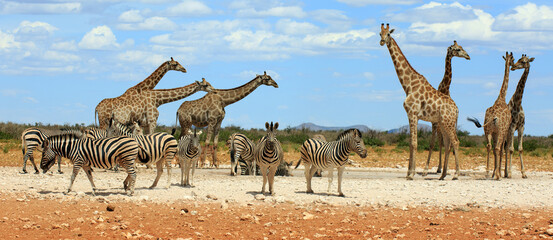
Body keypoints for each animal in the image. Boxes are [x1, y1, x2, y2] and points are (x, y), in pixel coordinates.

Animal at [380, 23, 462, 180]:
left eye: (388, 34)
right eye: (379, 33)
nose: (381, 41)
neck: (408, 85)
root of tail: (457, 109)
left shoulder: (412, 113)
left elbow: (414, 143)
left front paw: (411, 174)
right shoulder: (414, 115)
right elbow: (412, 143)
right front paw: (408, 173)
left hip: (448, 123)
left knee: (455, 141)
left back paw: (455, 174)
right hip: (443, 123)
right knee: (448, 142)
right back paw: (443, 175)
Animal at [422, 40, 470, 176]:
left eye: (462, 47)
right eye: (457, 49)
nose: (468, 56)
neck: (445, 89)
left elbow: (447, 144)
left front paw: (446, 168)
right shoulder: (434, 123)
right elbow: (432, 144)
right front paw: (426, 169)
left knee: (447, 143)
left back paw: (444, 168)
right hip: (440, 126)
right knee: (440, 142)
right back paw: (439, 168)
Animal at [468, 52, 516, 180]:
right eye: (513, 59)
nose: (513, 65)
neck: (501, 97)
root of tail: (494, 117)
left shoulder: (493, 133)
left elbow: (495, 150)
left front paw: (494, 172)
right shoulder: (504, 131)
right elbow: (501, 150)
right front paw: (498, 172)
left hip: (487, 131)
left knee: (489, 146)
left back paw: (487, 173)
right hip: (500, 131)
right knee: (498, 148)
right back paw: (498, 176)